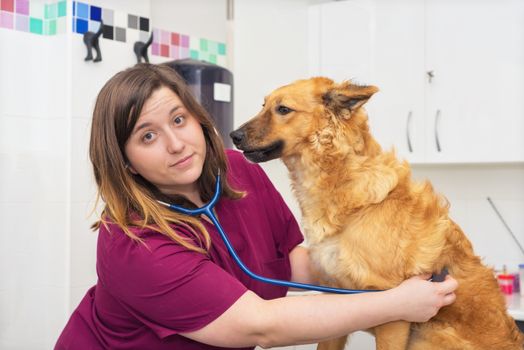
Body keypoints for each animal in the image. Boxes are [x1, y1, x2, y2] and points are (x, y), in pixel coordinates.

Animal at [230, 78, 524, 350]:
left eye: (283, 109)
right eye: (263, 105)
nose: (233, 135)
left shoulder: (395, 312)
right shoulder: (336, 302)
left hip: (428, 335)